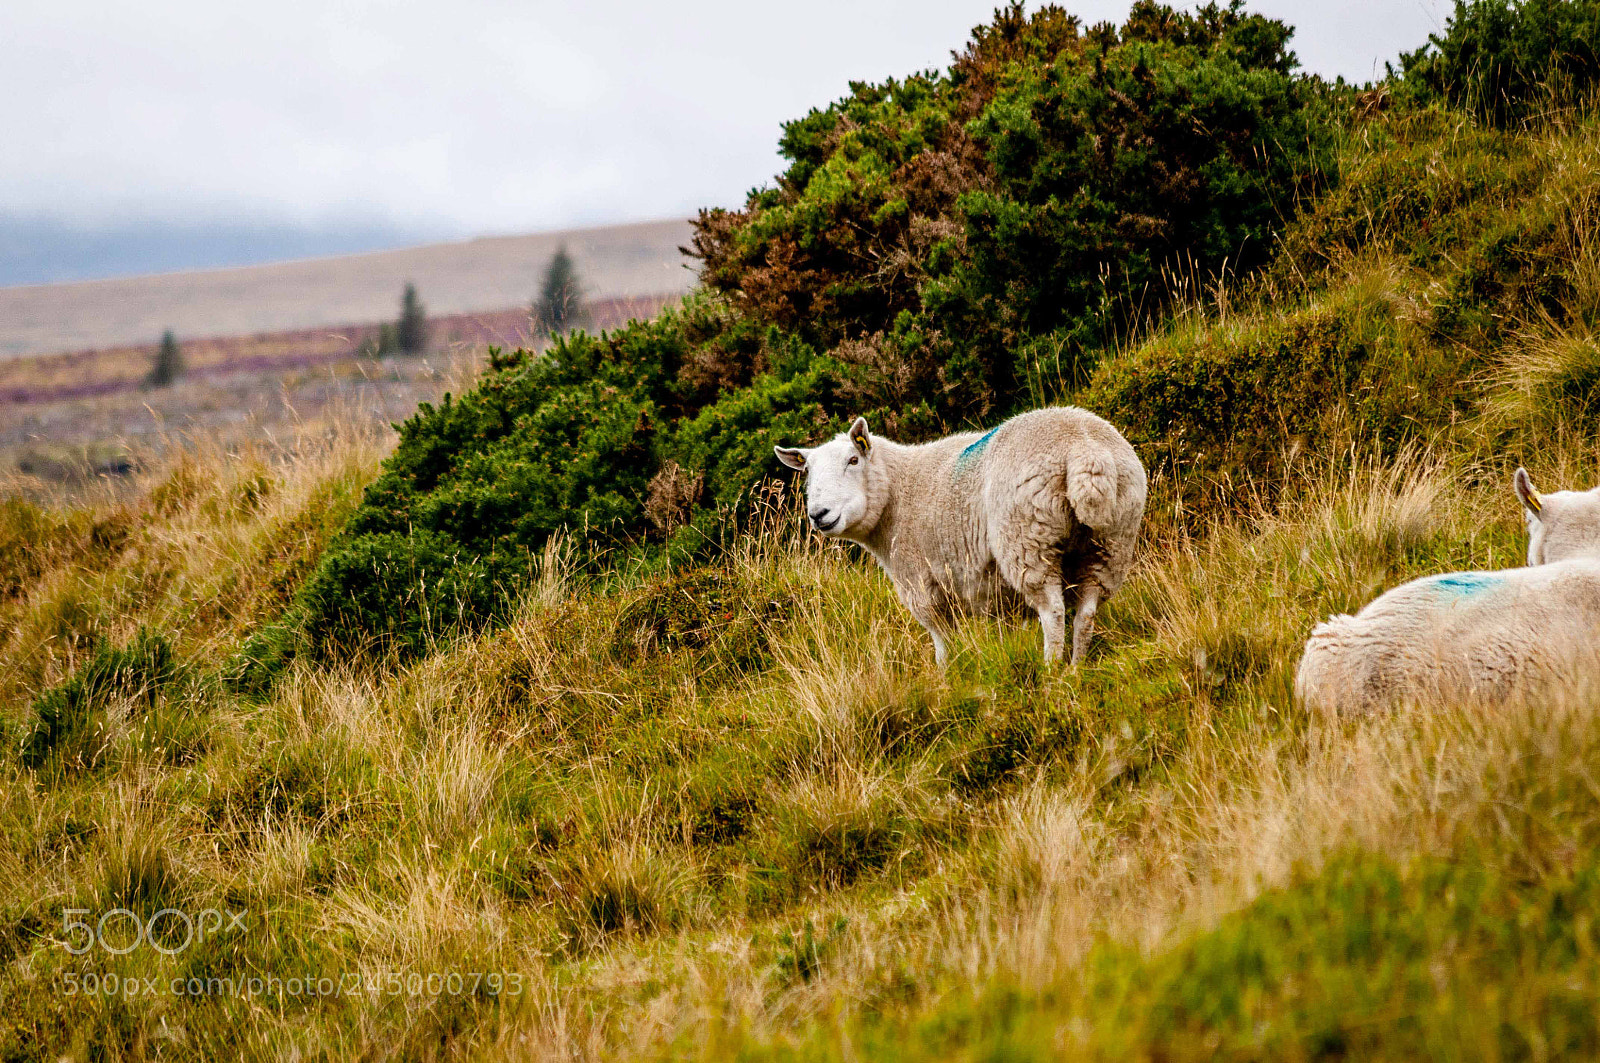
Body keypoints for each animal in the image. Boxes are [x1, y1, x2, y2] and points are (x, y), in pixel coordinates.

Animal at [774, 407, 1146, 666]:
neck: (898, 491)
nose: (818, 514)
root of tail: (1085, 450)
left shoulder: (920, 583)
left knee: (1053, 611)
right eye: (807, 472)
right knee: (1086, 613)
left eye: (853, 460)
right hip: (1111, 542)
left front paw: (946, 679)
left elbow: (942, 642)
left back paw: (1051, 670)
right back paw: (1075, 668)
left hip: (1027, 539)